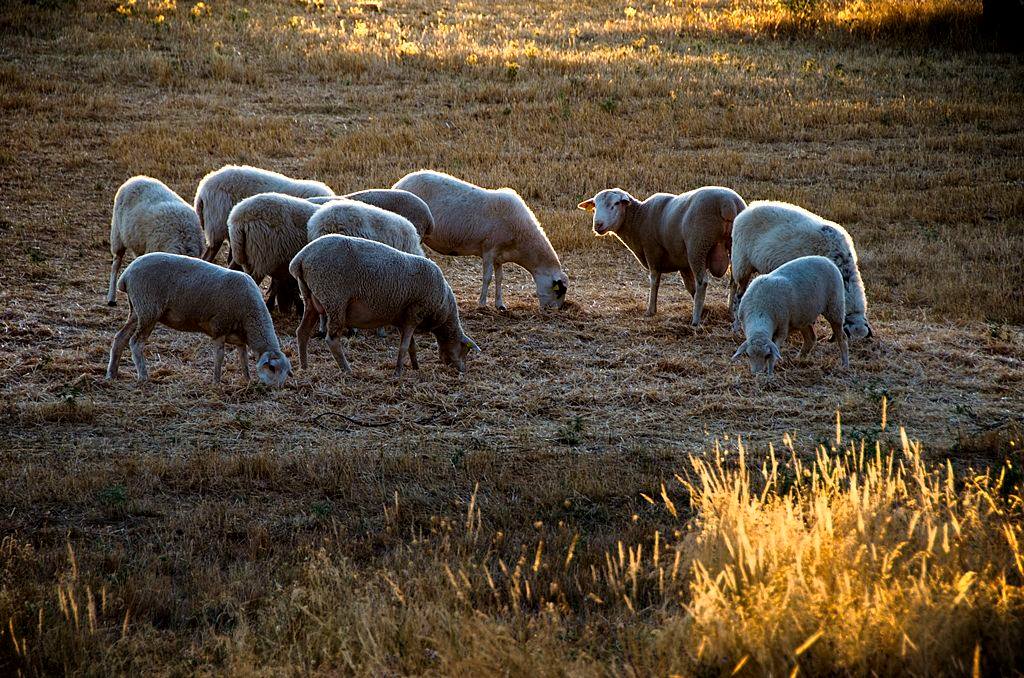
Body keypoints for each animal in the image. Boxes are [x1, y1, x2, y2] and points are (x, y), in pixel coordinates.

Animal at [105, 252, 291, 385]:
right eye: (272, 368)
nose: (276, 388)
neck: (251, 316)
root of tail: (126, 274)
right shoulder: (219, 327)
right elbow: (220, 356)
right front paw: (216, 382)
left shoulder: (239, 337)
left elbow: (243, 359)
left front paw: (247, 381)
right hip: (148, 309)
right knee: (136, 342)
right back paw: (143, 376)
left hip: (138, 311)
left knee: (120, 337)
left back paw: (112, 374)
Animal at [289, 234, 479, 376]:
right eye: (465, 350)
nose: (463, 370)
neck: (443, 309)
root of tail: (300, 259)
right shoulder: (413, 314)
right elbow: (404, 347)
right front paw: (398, 373)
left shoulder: (403, 319)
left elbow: (411, 346)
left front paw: (415, 366)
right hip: (334, 299)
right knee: (332, 340)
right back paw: (347, 370)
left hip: (311, 300)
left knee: (302, 332)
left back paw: (304, 367)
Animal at [392, 170, 569, 311]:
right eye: (558, 291)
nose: (554, 310)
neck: (522, 238)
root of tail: (399, 183)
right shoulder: (489, 249)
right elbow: (487, 278)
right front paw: (482, 304)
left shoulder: (499, 256)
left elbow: (500, 279)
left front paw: (500, 304)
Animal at [578, 186, 746, 325]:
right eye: (594, 207)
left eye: (616, 203)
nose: (598, 225)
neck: (639, 218)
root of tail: (728, 203)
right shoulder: (682, 263)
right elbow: (689, 287)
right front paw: (704, 309)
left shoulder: (652, 251)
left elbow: (654, 280)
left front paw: (651, 310)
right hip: (734, 245)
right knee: (735, 282)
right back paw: (731, 313)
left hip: (698, 245)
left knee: (702, 282)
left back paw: (695, 320)